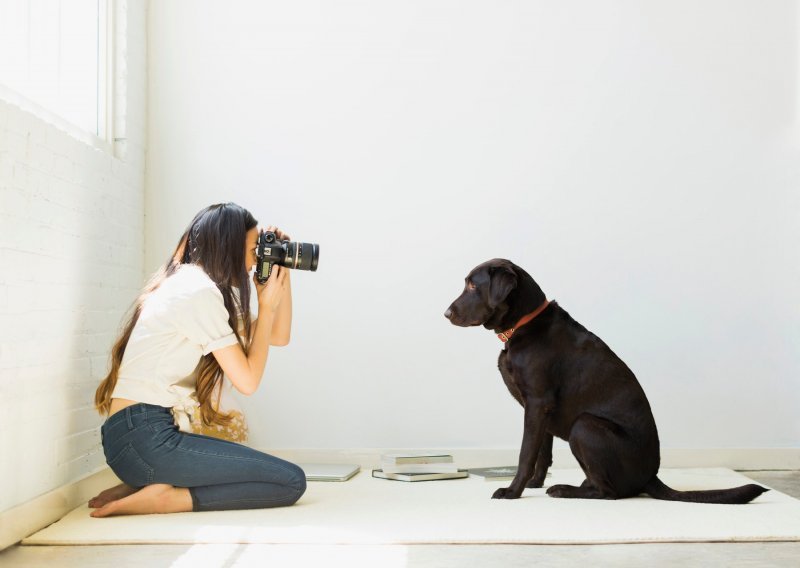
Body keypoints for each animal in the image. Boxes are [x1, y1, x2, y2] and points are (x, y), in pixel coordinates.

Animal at [446, 260, 764, 504]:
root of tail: (650, 476)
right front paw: (534, 483)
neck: (524, 324)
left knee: (612, 493)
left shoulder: (536, 404)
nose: (446, 313)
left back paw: (565, 490)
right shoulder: (540, 410)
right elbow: (542, 453)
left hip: (585, 426)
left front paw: (513, 492)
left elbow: (526, 453)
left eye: (473, 286)